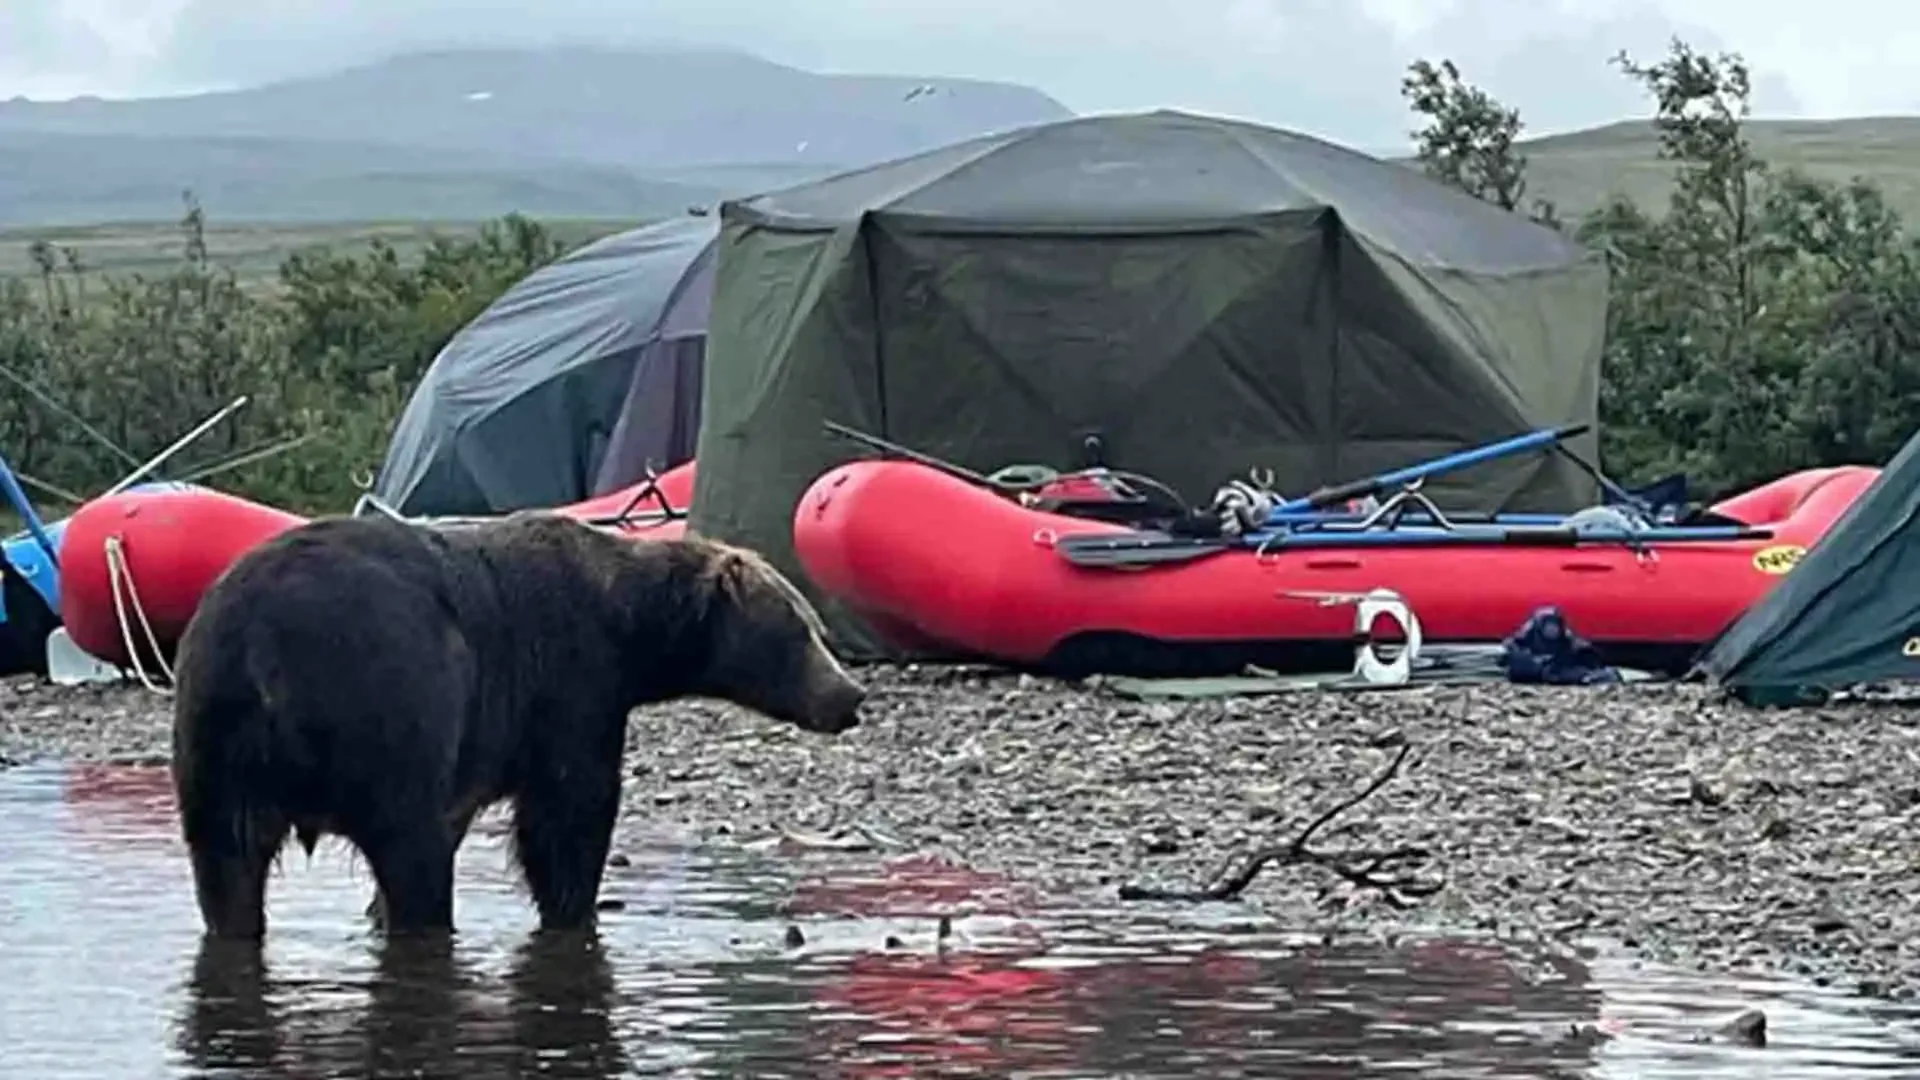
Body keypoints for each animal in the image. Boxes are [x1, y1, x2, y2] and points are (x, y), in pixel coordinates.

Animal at [169, 510, 866, 941]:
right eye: (800, 630)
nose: (850, 696)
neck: (630, 628)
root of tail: (262, 644)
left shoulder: (488, 732)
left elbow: (474, 815)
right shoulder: (566, 682)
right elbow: (566, 816)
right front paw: (574, 909)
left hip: (217, 732)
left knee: (227, 863)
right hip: (387, 692)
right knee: (408, 845)